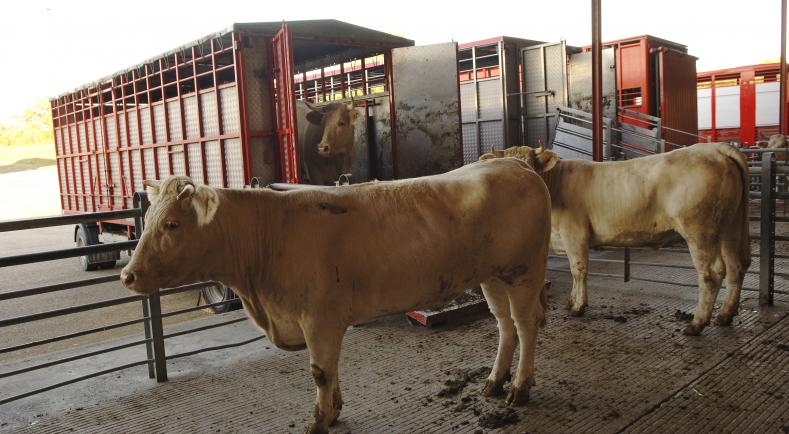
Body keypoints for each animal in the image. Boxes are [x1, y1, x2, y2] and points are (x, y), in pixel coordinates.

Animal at [120, 159, 552, 434]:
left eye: (172, 224)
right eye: (148, 220)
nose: (127, 275)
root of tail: (515, 164)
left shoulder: (319, 317)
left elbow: (320, 371)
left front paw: (319, 421)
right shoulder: (323, 322)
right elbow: (331, 368)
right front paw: (334, 412)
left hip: (525, 271)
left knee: (526, 325)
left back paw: (519, 388)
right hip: (493, 275)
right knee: (504, 325)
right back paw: (494, 382)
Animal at [480, 142, 752, 336]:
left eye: (530, 166)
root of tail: (713, 148)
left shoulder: (574, 234)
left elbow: (578, 269)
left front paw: (578, 307)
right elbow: (574, 272)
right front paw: (571, 302)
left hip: (700, 230)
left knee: (711, 273)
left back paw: (697, 324)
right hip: (730, 227)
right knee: (736, 266)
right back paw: (725, 315)